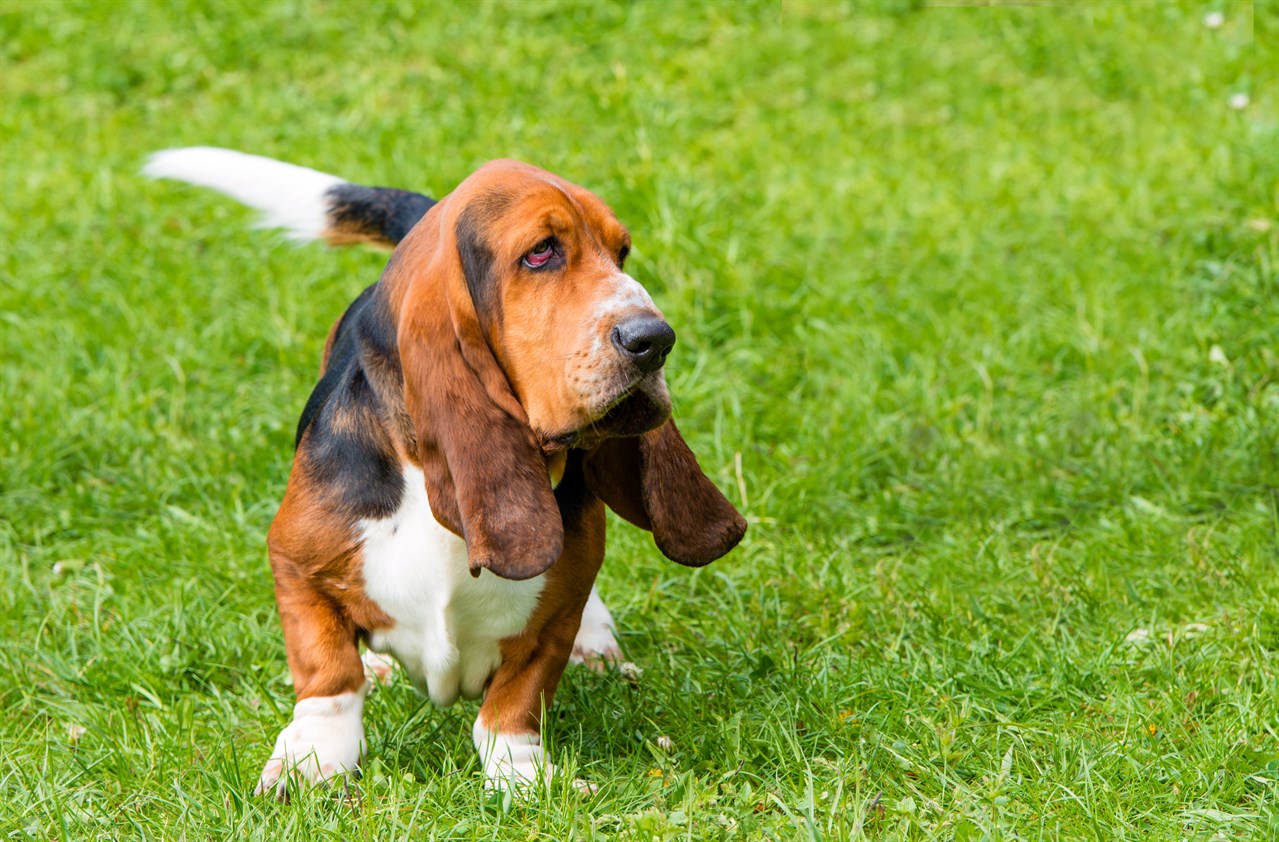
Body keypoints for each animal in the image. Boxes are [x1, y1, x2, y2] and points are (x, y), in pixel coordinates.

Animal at [147, 150, 746, 793]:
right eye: (541, 252)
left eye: (622, 252)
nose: (655, 339)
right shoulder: (293, 563)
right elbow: (328, 674)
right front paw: (312, 760)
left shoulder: (554, 618)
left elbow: (515, 700)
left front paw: (521, 777)